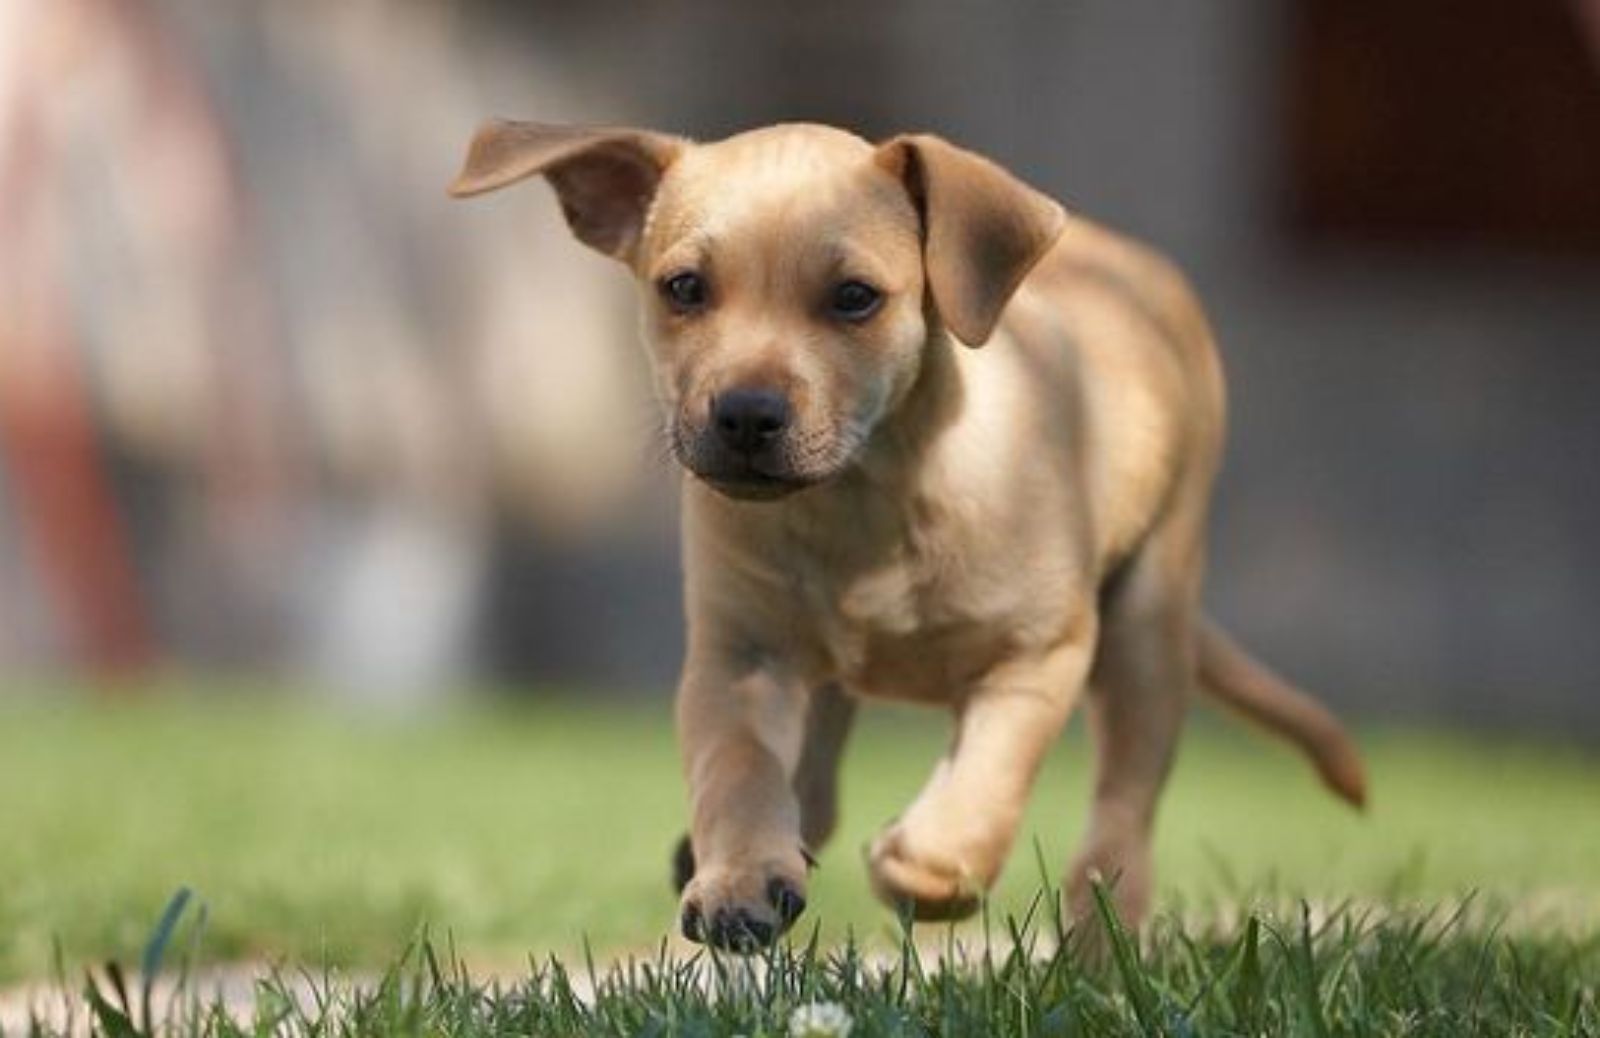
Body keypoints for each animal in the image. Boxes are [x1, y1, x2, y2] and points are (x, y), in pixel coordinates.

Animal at [451, 119, 1363, 946]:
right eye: (683, 288)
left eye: (855, 297)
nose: (744, 415)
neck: (866, 501)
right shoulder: (738, 657)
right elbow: (736, 769)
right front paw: (739, 876)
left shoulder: (1038, 654)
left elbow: (989, 781)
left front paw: (927, 865)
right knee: (814, 775)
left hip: (1147, 625)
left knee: (1120, 821)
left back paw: (1101, 951)